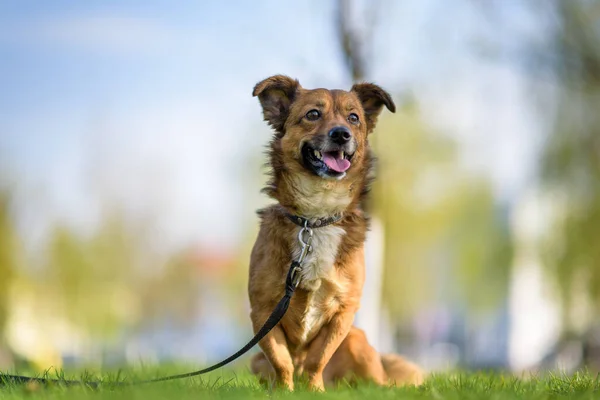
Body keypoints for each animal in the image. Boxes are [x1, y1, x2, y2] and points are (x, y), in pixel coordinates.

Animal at [246, 74, 424, 390]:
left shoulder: (344, 310)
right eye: (313, 114)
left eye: (354, 118)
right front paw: (284, 391)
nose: (341, 134)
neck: (316, 217)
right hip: (255, 361)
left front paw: (314, 390)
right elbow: (282, 360)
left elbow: (317, 357)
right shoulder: (263, 310)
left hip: (358, 341)